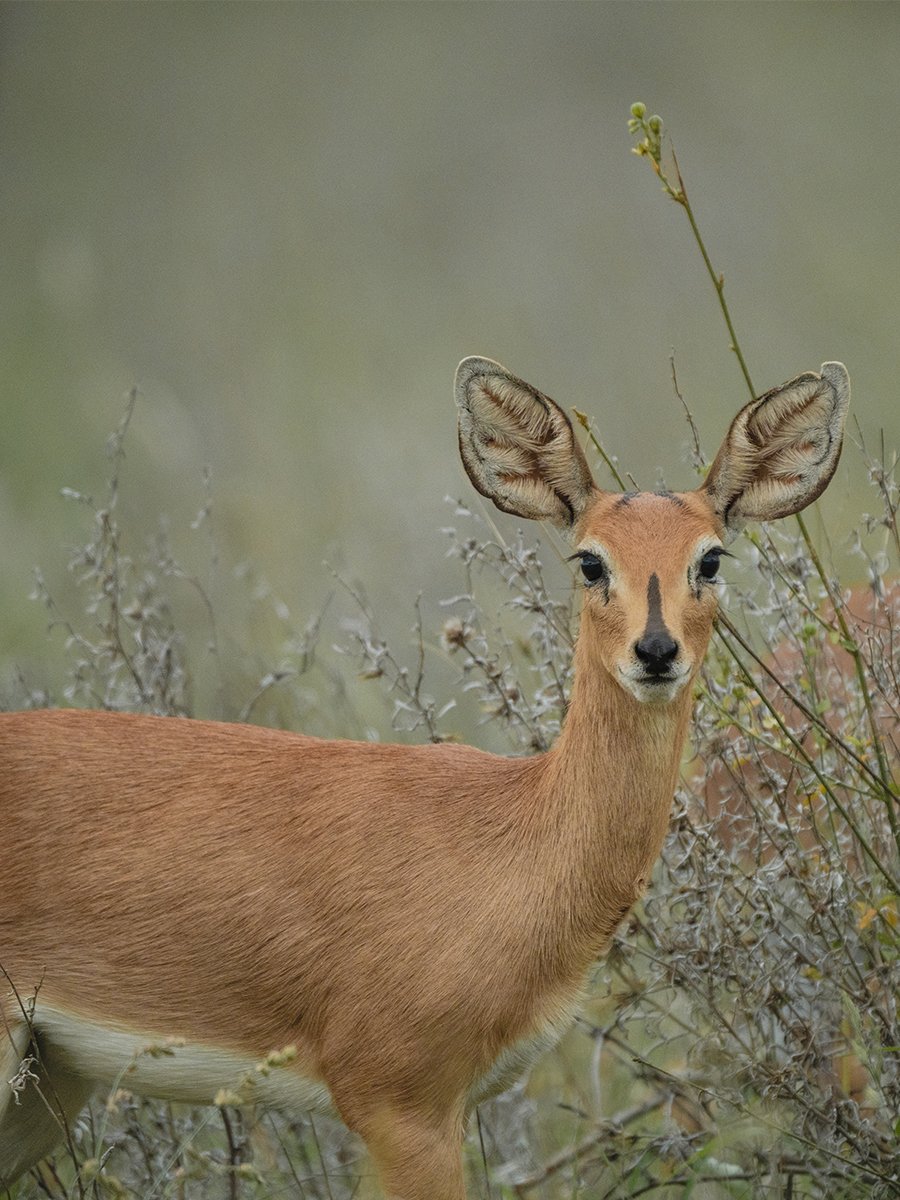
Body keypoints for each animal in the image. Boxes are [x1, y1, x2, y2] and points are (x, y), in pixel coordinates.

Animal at [0, 357, 849, 1200]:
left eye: (710, 557)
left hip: (47, 1082)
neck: (507, 838)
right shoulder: (400, 1105)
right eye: (590, 559)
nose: (656, 650)